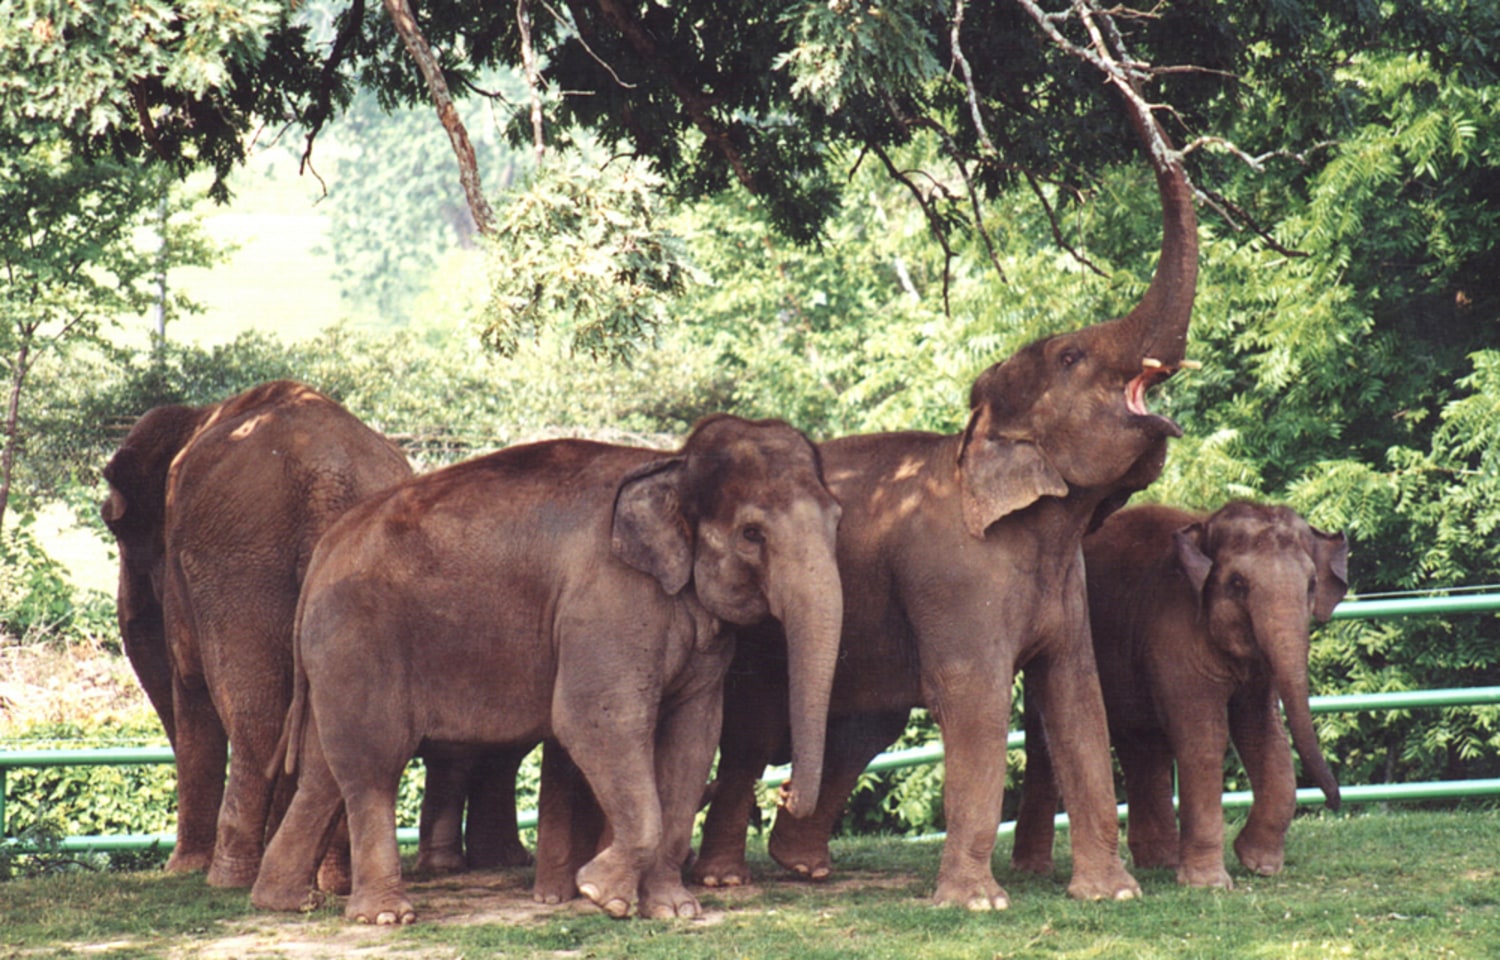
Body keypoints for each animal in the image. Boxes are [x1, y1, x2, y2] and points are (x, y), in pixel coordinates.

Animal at [100, 380, 413, 887]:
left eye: (117, 527)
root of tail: (329, 479)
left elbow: (192, 691)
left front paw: (181, 869)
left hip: (240, 566)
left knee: (255, 715)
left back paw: (229, 877)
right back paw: (327, 879)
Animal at [250, 413, 844, 924]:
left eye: (837, 519)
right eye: (752, 534)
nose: (787, 791)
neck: (669, 464)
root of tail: (326, 548)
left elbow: (694, 737)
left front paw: (674, 909)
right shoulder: (609, 600)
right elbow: (597, 721)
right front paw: (601, 893)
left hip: (335, 658)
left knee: (326, 771)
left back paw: (283, 902)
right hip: (358, 640)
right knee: (373, 763)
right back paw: (385, 916)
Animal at [691, 100, 1198, 910]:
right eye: (1071, 358)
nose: (1135, 106)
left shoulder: (1066, 581)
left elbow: (1076, 698)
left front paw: (1114, 895)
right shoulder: (957, 580)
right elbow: (975, 698)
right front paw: (977, 903)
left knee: (866, 723)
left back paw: (803, 863)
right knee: (753, 731)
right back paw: (727, 878)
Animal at [1011, 502, 1348, 889]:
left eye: (1311, 585)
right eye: (1237, 583)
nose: (1335, 803)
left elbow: (1263, 733)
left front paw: (1258, 864)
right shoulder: (1175, 631)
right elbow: (1204, 737)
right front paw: (1210, 884)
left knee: (1144, 745)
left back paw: (1160, 861)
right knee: (1045, 744)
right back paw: (1034, 870)